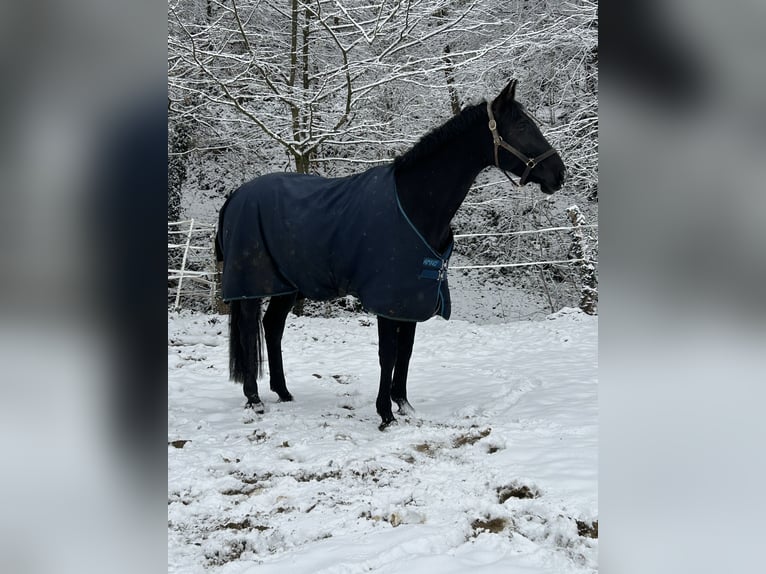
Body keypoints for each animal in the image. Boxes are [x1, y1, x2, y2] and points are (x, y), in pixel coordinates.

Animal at [215, 79, 566, 429]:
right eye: (522, 125)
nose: (559, 174)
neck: (415, 202)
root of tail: (235, 195)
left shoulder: (412, 296)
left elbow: (405, 352)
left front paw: (404, 405)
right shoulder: (389, 299)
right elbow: (388, 354)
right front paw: (385, 413)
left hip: (286, 285)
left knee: (272, 327)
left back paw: (284, 392)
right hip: (252, 284)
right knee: (248, 332)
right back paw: (254, 399)